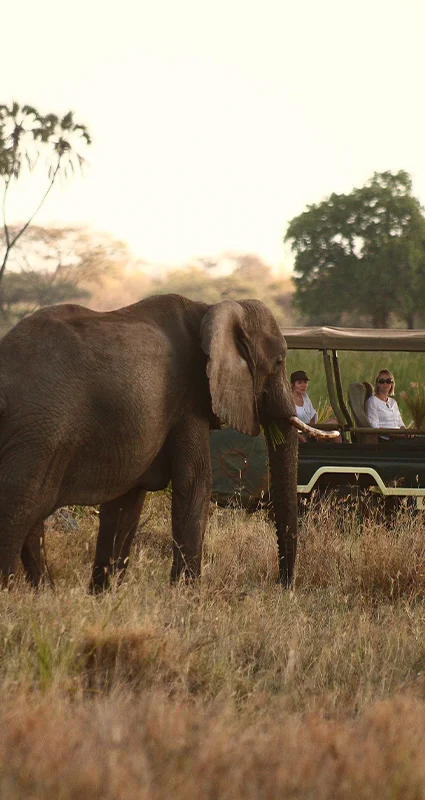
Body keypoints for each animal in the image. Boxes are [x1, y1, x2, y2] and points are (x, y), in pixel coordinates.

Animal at [0, 293, 336, 590]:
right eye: (279, 362)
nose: (282, 585)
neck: (211, 310)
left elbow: (127, 501)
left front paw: (103, 596)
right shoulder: (190, 398)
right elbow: (195, 482)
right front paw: (186, 597)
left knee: (32, 519)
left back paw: (45, 593)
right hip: (40, 431)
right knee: (21, 506)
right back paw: (14, 597)